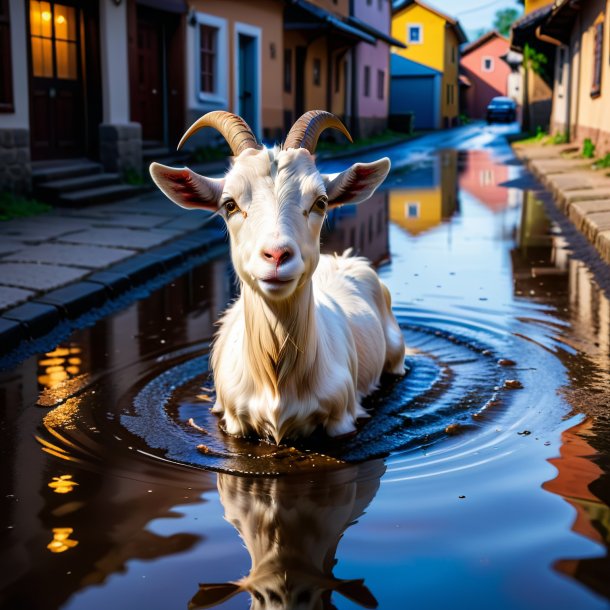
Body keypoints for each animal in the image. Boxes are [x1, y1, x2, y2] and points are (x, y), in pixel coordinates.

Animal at [149, 110, 402, 442]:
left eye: (320, 202)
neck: (277, 377)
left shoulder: (342, 417)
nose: (277, 255)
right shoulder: (234, 422)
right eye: (229, 204)